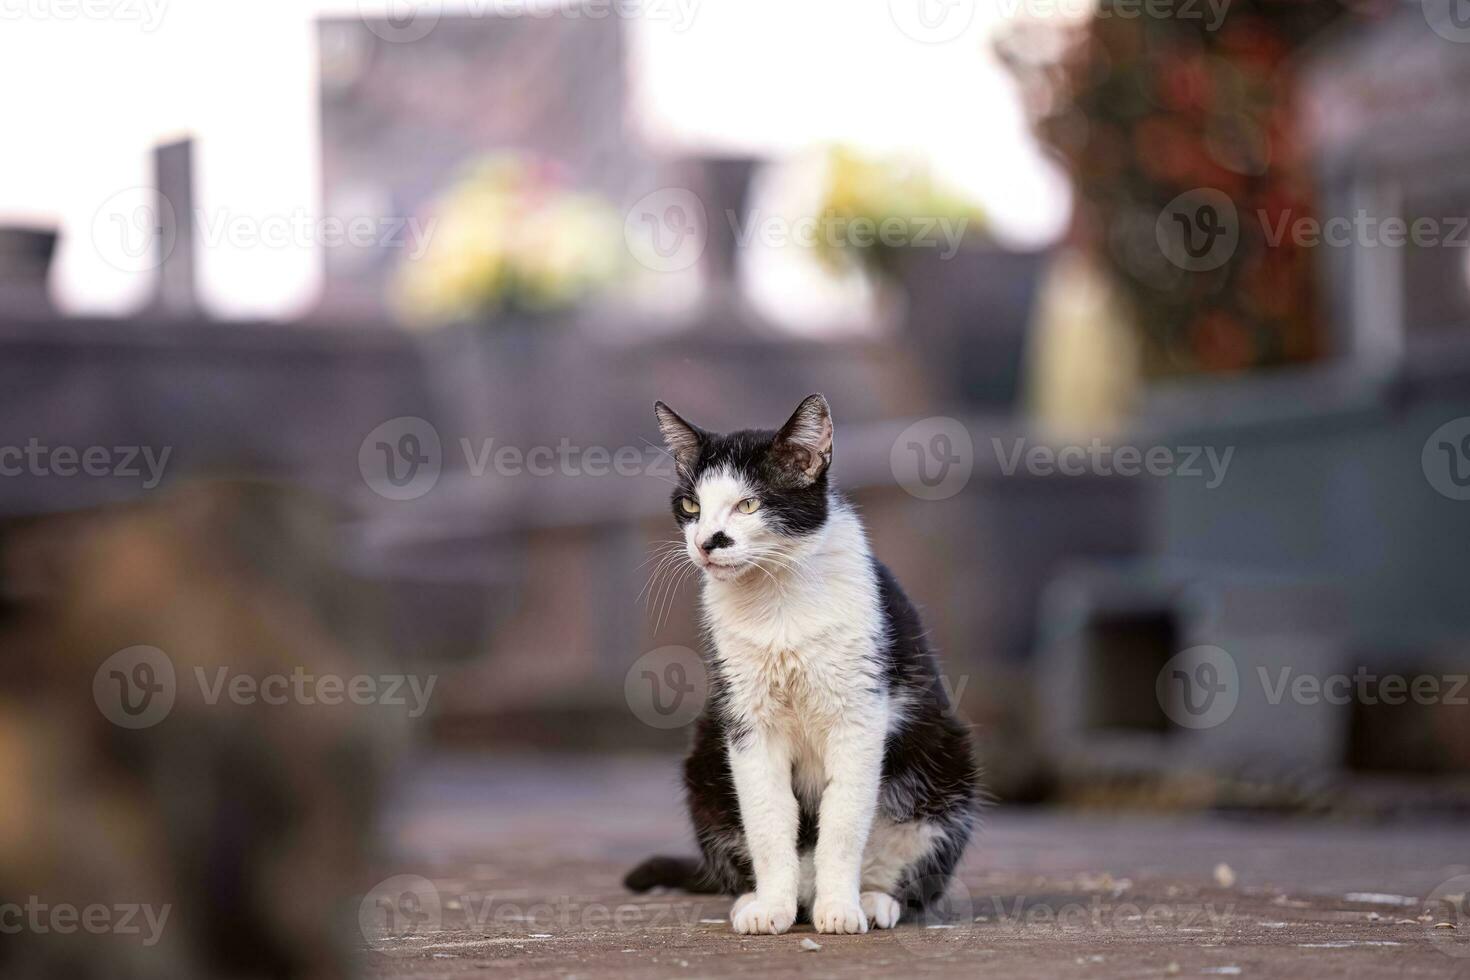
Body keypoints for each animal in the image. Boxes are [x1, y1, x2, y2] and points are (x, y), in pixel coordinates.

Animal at [620, 393, 976, 934]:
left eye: (749, 504)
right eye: (691, 505)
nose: (706, 542)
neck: (776, 600)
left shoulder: (860, 713)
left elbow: (843, 818)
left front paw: (841, 909)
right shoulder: (746, 719)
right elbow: (768, 816)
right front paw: (771, 907)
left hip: (947, 765)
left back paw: (871, 900)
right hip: (704, 761)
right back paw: (764, 899)